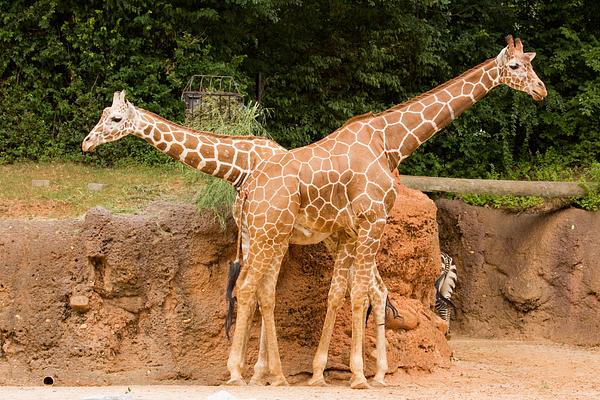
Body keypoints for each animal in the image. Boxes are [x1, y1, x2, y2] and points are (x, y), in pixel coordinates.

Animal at [227, 34, 548, 388]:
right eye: (515, 66)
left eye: (532, 64)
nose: (541, 90)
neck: (389, 142)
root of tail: (248, 188)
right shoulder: (373, 219)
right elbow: (360, 294)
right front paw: (358, 375)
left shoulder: (353, 229)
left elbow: (346, 293)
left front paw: (333, 373)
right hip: (269, 233)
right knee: (248, 287)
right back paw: (240, 374)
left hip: (263, 234)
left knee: (255, 289)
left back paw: (261, 374)